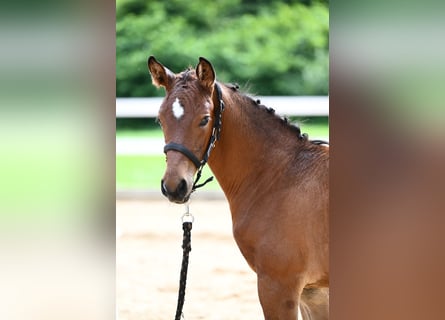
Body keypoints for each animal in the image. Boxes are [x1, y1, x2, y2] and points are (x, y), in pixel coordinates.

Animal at [147, 56, 328, 318]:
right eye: (160, 120)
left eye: (204, 119)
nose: (174, 186)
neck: (281, 176)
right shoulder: (314, 292)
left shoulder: (278, 286)